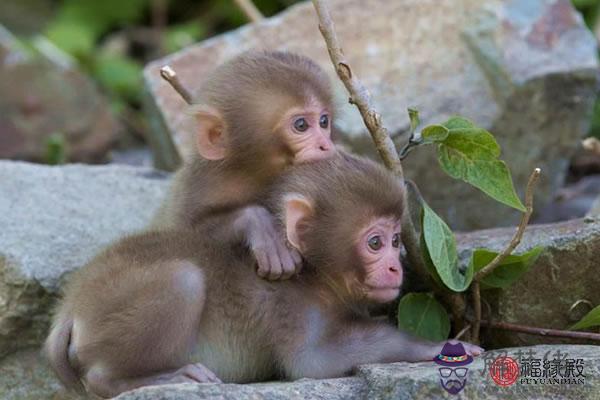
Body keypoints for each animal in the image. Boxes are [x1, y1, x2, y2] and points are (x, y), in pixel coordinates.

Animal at [45, 152, 482, 396]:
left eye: (395, 240)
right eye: (375, 243)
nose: (395, 266)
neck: (313, 277)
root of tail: (72, 306)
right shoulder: (292, 307)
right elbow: (311, 363)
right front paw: (431, 347)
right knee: (183, 281)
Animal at [154, 50, 338, 280]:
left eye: (324, 121)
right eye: (301, 125)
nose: (326, 145)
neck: (252, 174)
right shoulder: (199, 187)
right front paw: (262, 226)